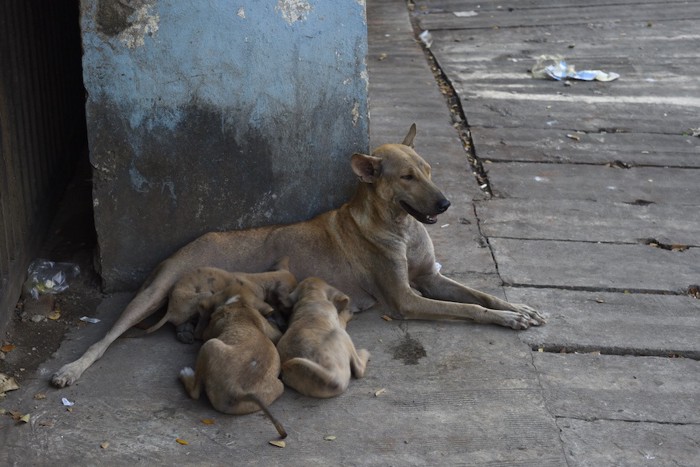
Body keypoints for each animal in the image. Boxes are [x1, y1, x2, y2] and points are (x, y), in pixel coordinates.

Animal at [54, 123, 548, 388]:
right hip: (150, 292)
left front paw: (518, 308)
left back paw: (188, 331)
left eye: (428, 170)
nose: (445, 204)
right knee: (105, 338)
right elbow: (469, 308)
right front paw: (506, 320)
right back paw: (72, 369)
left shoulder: (429, 278)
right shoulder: (407, 299)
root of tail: (188, 244)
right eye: (406, 177)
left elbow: (481, 295)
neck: (401, 228)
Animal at [180, 292, 290, 438]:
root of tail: (237, 390)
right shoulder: (271, 330)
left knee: (194, 393)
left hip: (210, 345)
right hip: (278, 387)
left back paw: (186, 374)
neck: (241, 306)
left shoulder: (208, 332)